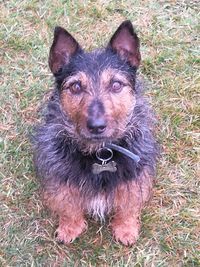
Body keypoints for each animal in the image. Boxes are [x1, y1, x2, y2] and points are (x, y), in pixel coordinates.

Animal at [32, 20, 158, 247]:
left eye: (116, 84)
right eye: (75, 86)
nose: (96, 126)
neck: (100, 151)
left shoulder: (135, 173)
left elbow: (128, 203)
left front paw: (125, 228)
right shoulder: (61, 173)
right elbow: (68, 203)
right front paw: (70, 227)